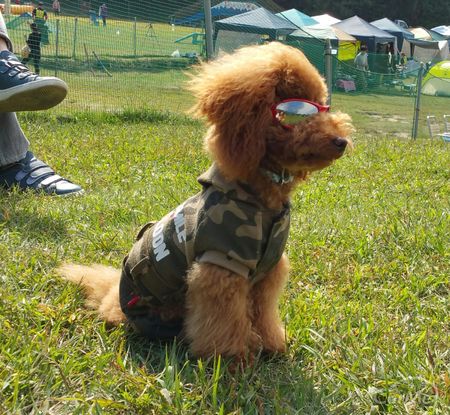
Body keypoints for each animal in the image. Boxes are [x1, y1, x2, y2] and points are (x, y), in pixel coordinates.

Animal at [58, 42, 353, 360]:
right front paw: (231, 359)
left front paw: (272, 346)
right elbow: (225, 320)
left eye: (323, 105)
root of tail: (115, 289)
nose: (341, 141)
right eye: (296, 112)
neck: (262, 202)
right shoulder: (221, 266)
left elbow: (263, 313)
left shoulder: (269, 271)